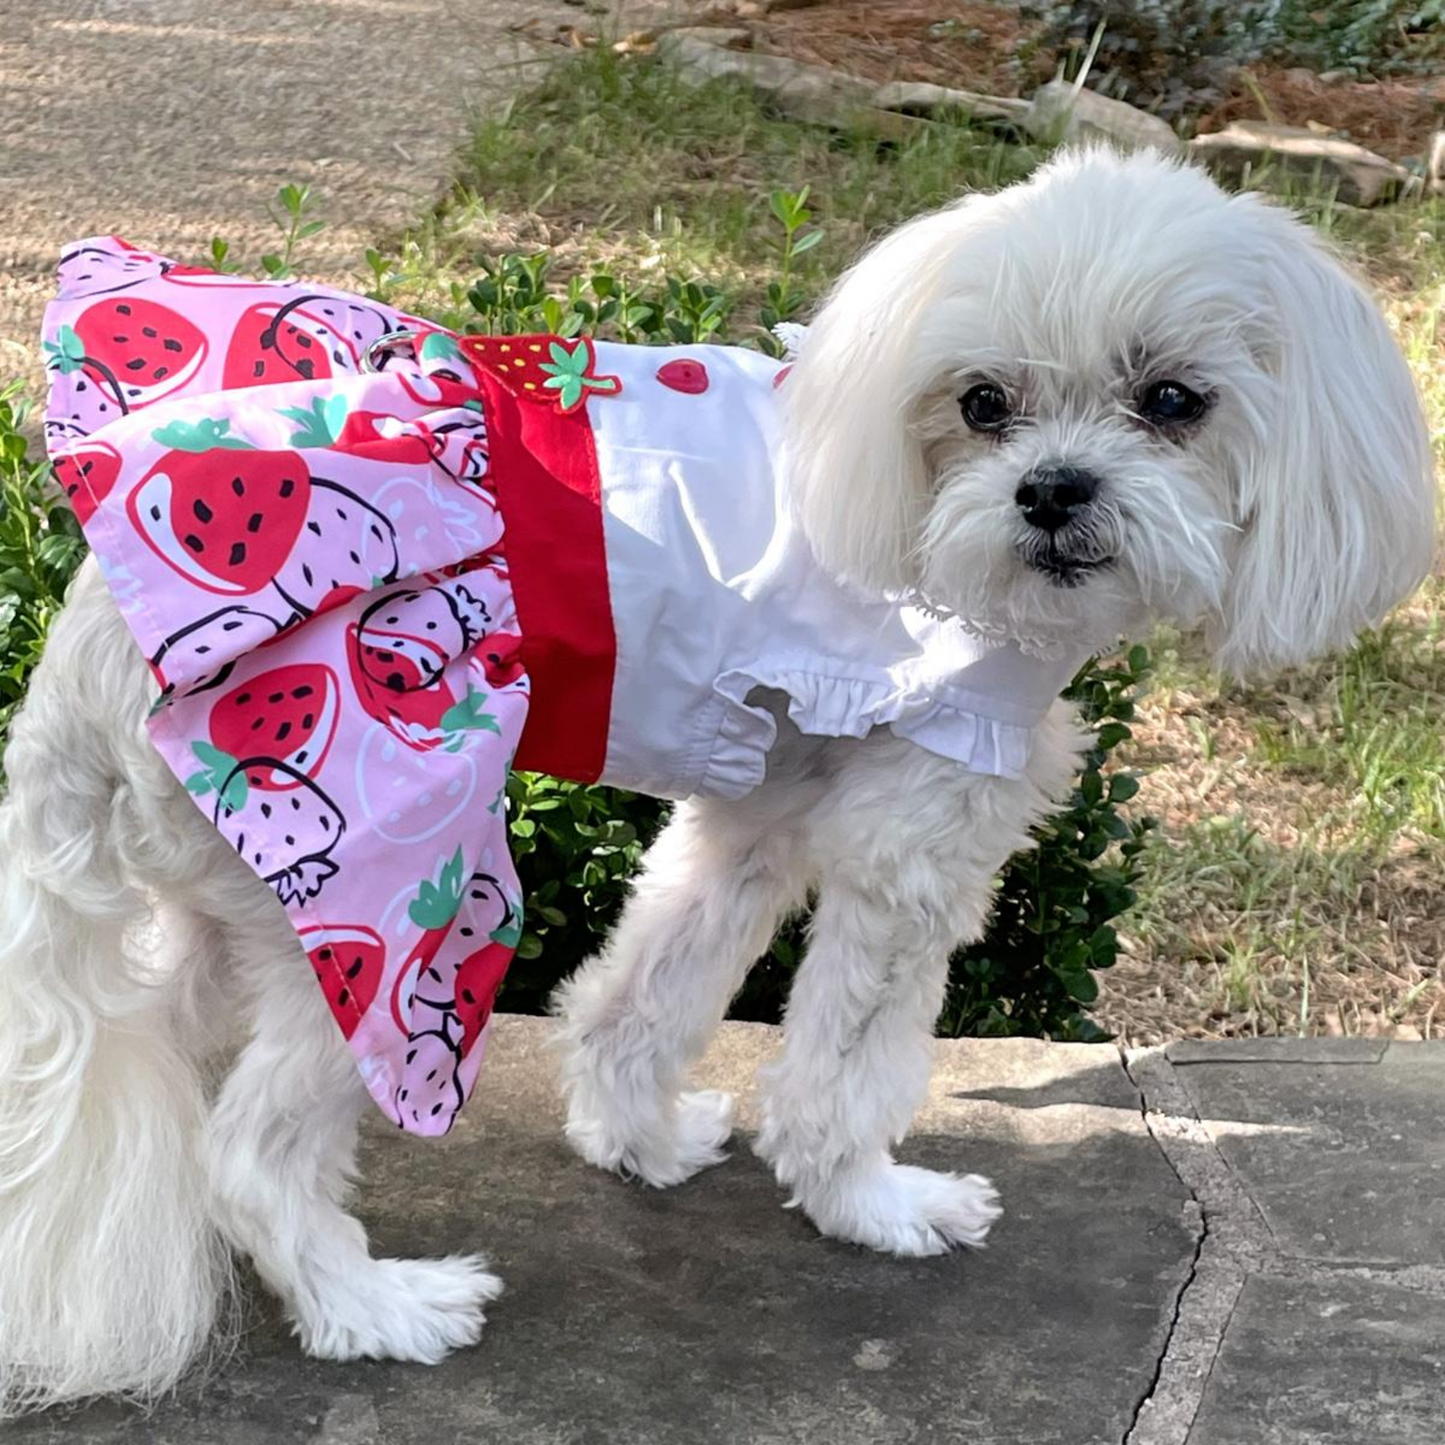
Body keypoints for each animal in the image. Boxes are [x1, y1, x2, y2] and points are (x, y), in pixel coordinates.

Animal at [0, 149, 1433, 1410]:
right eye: (980, 401)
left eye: (1175, 400)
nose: (1050, 491)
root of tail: (83, 642)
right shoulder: (909, 842)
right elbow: (844, 1062)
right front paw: (871, 1200)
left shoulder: (762, 800)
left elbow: (656, 977)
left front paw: (630, 1138)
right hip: (388, 897)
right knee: (251, 1147)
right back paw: (371, 1305)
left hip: (215, 894)